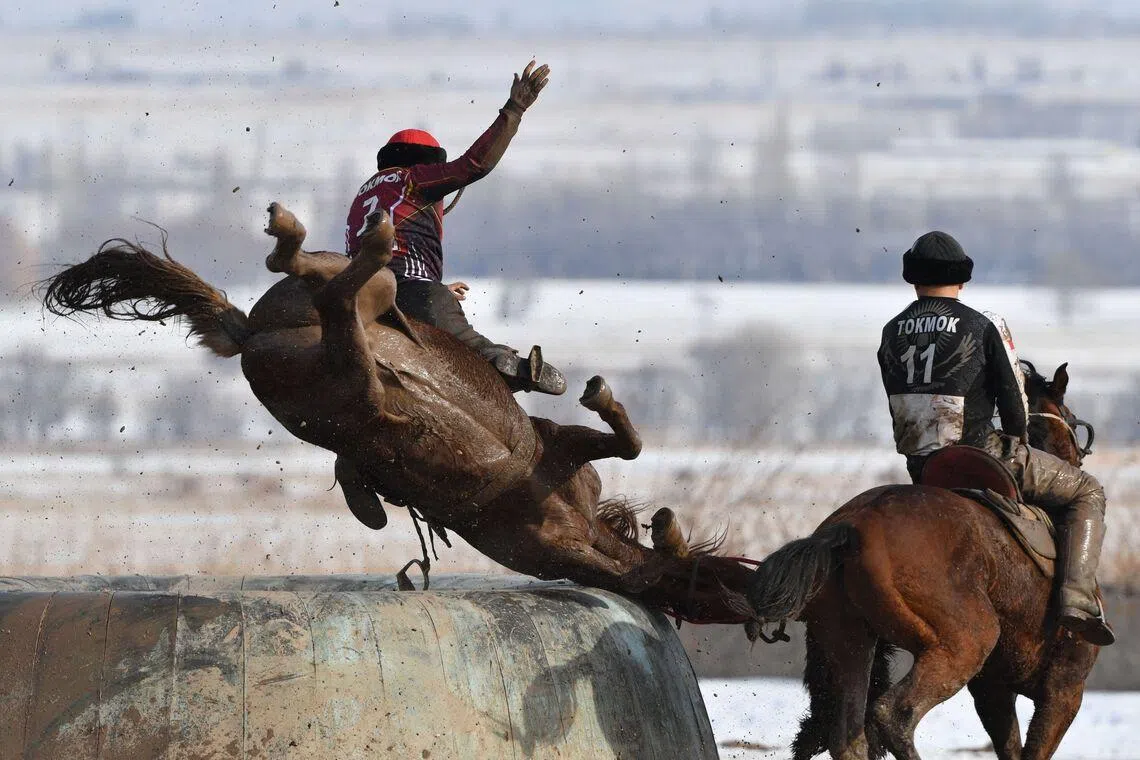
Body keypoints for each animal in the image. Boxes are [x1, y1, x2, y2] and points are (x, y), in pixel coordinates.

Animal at [40, 203, 753, 624]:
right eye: (728, 582)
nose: (757, 614)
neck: (580, 525)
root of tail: (249, 335)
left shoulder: (562, 464)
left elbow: (625, 447)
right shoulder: (562, 464)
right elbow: (622, 442)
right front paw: (602, 397)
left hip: (345, 356)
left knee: (336, 296)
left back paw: (315, 243)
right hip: (357, 373)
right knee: (343, 299)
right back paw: (358, 237)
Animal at [733, 362, 1100, 760]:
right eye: (1067, 415)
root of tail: (849, 528)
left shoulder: (993, 690)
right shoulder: (1063, 691)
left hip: (850, 643)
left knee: (849, 735)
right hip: (963, 643)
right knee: (894, 715)